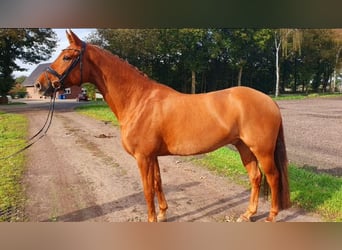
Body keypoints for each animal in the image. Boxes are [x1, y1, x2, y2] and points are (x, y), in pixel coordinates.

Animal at [34, 30, 290, 222]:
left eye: (68, 58)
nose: (39, 85)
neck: (138, 100)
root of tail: (269, 101)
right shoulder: (152, 156)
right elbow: (158, 183)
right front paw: (164, 214)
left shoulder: (143, 157)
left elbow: (147, 190)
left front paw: (152, 219)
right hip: (243, 147)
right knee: (256, 177)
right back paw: (248, 214)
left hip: (262, 150)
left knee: (273, 177)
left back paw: (271, 216)